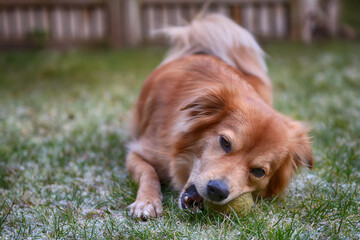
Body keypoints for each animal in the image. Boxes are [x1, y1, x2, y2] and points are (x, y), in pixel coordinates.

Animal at [124, 12, 312, 219]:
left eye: (258, 171)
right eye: (225, 142)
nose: (217, 190)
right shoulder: (138, 151)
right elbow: (148, 172)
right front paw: (147, 202)